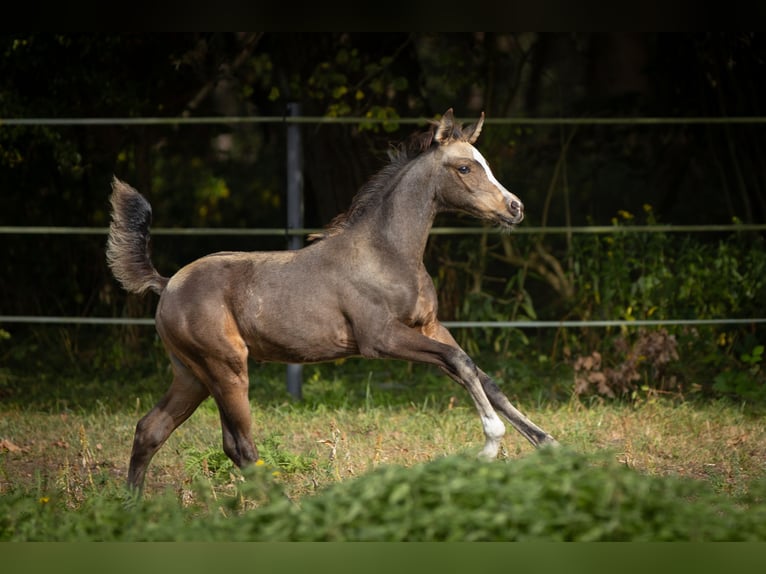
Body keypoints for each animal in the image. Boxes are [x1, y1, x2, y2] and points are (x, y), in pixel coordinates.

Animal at [106, 110, 560, 492]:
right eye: (465, 167)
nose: (515, 208)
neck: (386, 254)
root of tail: (168, 284)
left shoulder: (430, 326)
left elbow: (482, 376)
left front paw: (547, 442)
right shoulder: (381, 340)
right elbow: (460, 363)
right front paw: (490, 443)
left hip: (192, 374)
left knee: (150, 429)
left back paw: (132, 507)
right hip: (225, 367)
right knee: (238, 446)